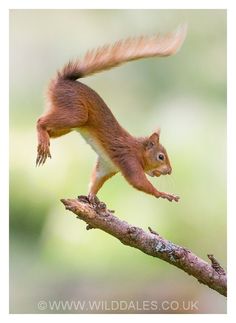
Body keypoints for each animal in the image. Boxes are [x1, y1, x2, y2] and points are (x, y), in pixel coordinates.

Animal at [36, 24, 187, 202]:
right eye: (161, 157)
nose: (170, 171)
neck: (137, 150)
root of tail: (62, 81)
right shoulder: (128, 159)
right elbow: (138, 182)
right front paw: (163, 194)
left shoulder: (108, 165)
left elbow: (96, 180)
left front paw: (92, 198)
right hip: (75, 114)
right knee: (40, 121)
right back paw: (42, 137)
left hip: (68, 125)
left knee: (49, 128)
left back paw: (44, 142)